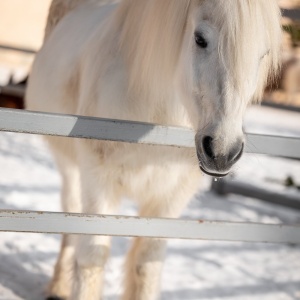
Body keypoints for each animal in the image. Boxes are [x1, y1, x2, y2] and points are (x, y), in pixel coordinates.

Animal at [25, 1, 282, 298]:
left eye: (263, 53)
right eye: (200, 39)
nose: (222, 151)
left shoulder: (171, 195)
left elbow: (147, 264)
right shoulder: (98, 180)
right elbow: (91, 257)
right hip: (69, 167)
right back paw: (59, 286)